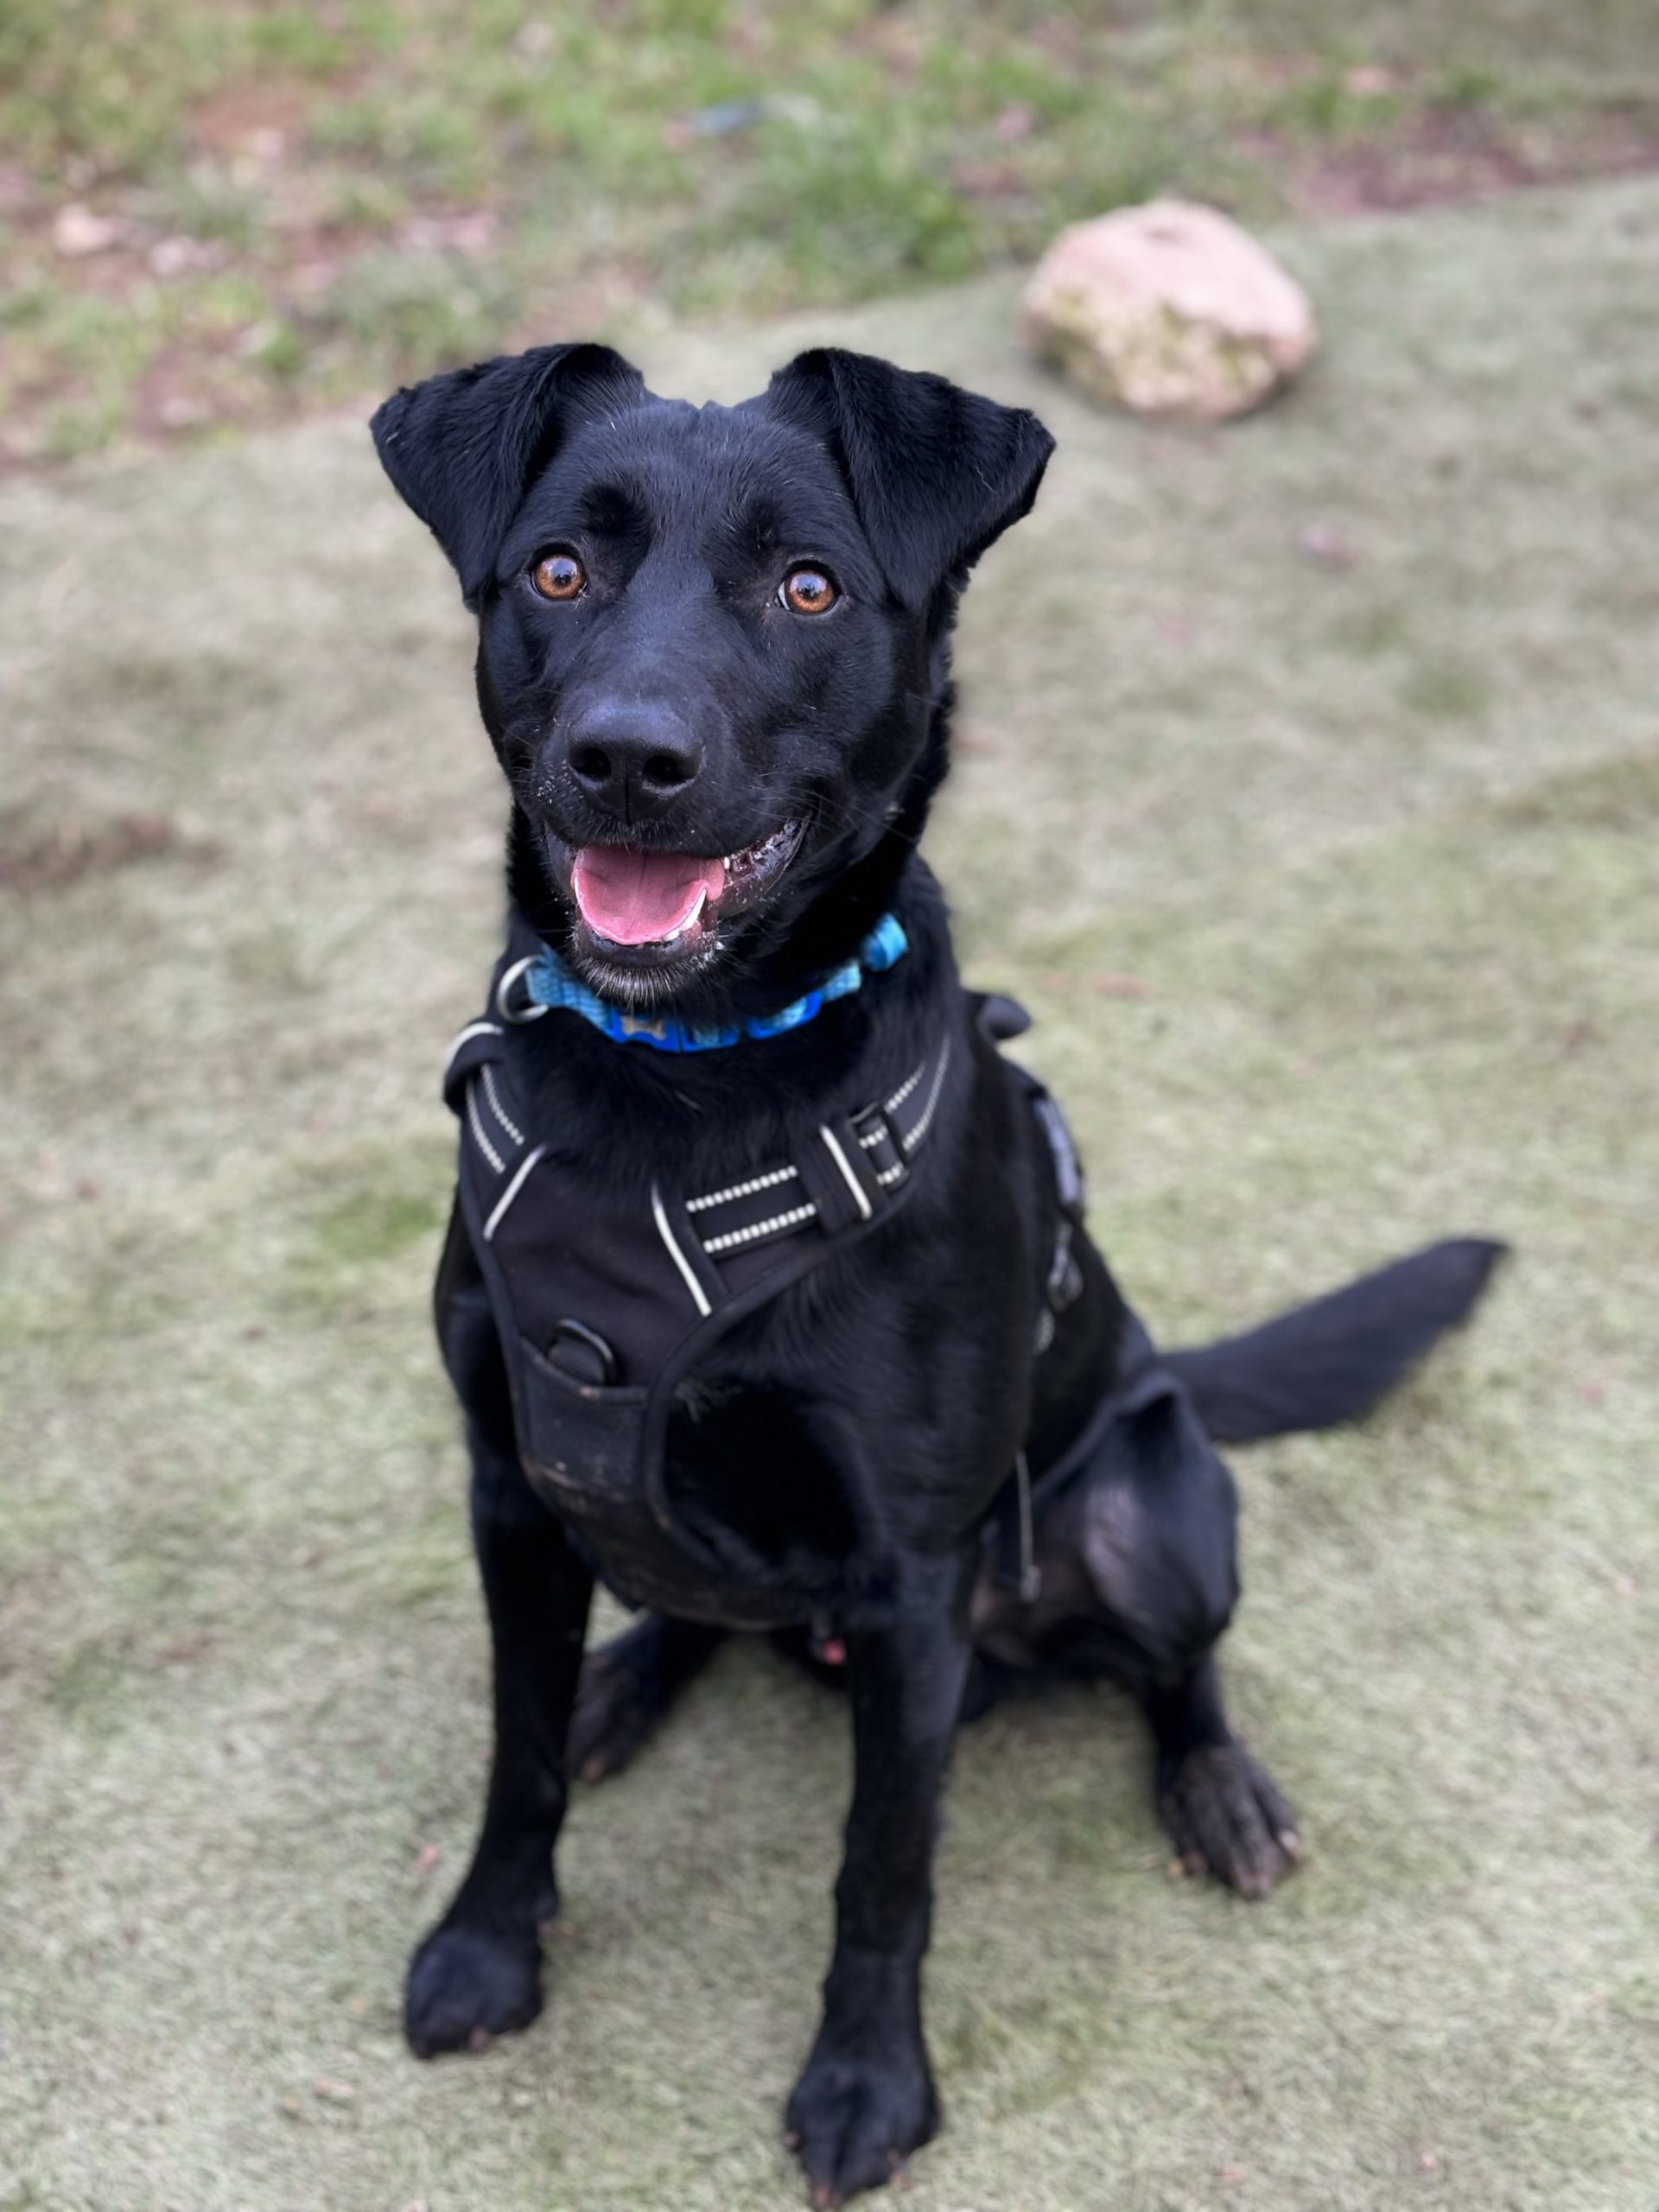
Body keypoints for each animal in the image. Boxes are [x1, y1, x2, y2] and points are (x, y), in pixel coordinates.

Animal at [373, 345, 1503, 2194]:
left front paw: (867, 2084)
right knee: (688, 1601)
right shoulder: (515, 1487)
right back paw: (633, 1676)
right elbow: (513, 1756)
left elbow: (882, 1872)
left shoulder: (912, 1581)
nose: (627, 756)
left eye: (809, 587)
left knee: (1182, 1663)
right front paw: (485, 1947)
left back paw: (1218, 1785)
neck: (683, 1083)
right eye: (558, 570)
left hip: (1157, 1510)